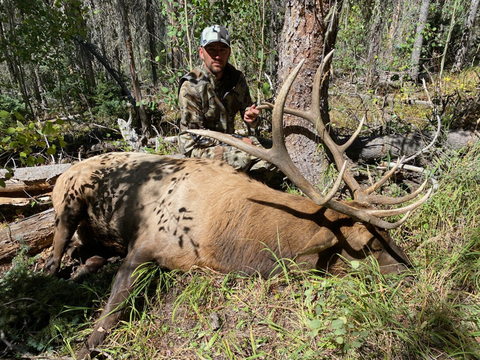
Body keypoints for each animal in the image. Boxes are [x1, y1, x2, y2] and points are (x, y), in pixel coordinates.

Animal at [44, 52, 432, 358]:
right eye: (367, 245)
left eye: (387, 238)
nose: (412, 268)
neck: (225, 242)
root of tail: (62, 174)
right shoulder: (144, 244)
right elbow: (108, 316)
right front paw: (83, 347)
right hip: (69, 203)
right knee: (56, 253)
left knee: (84, 251)